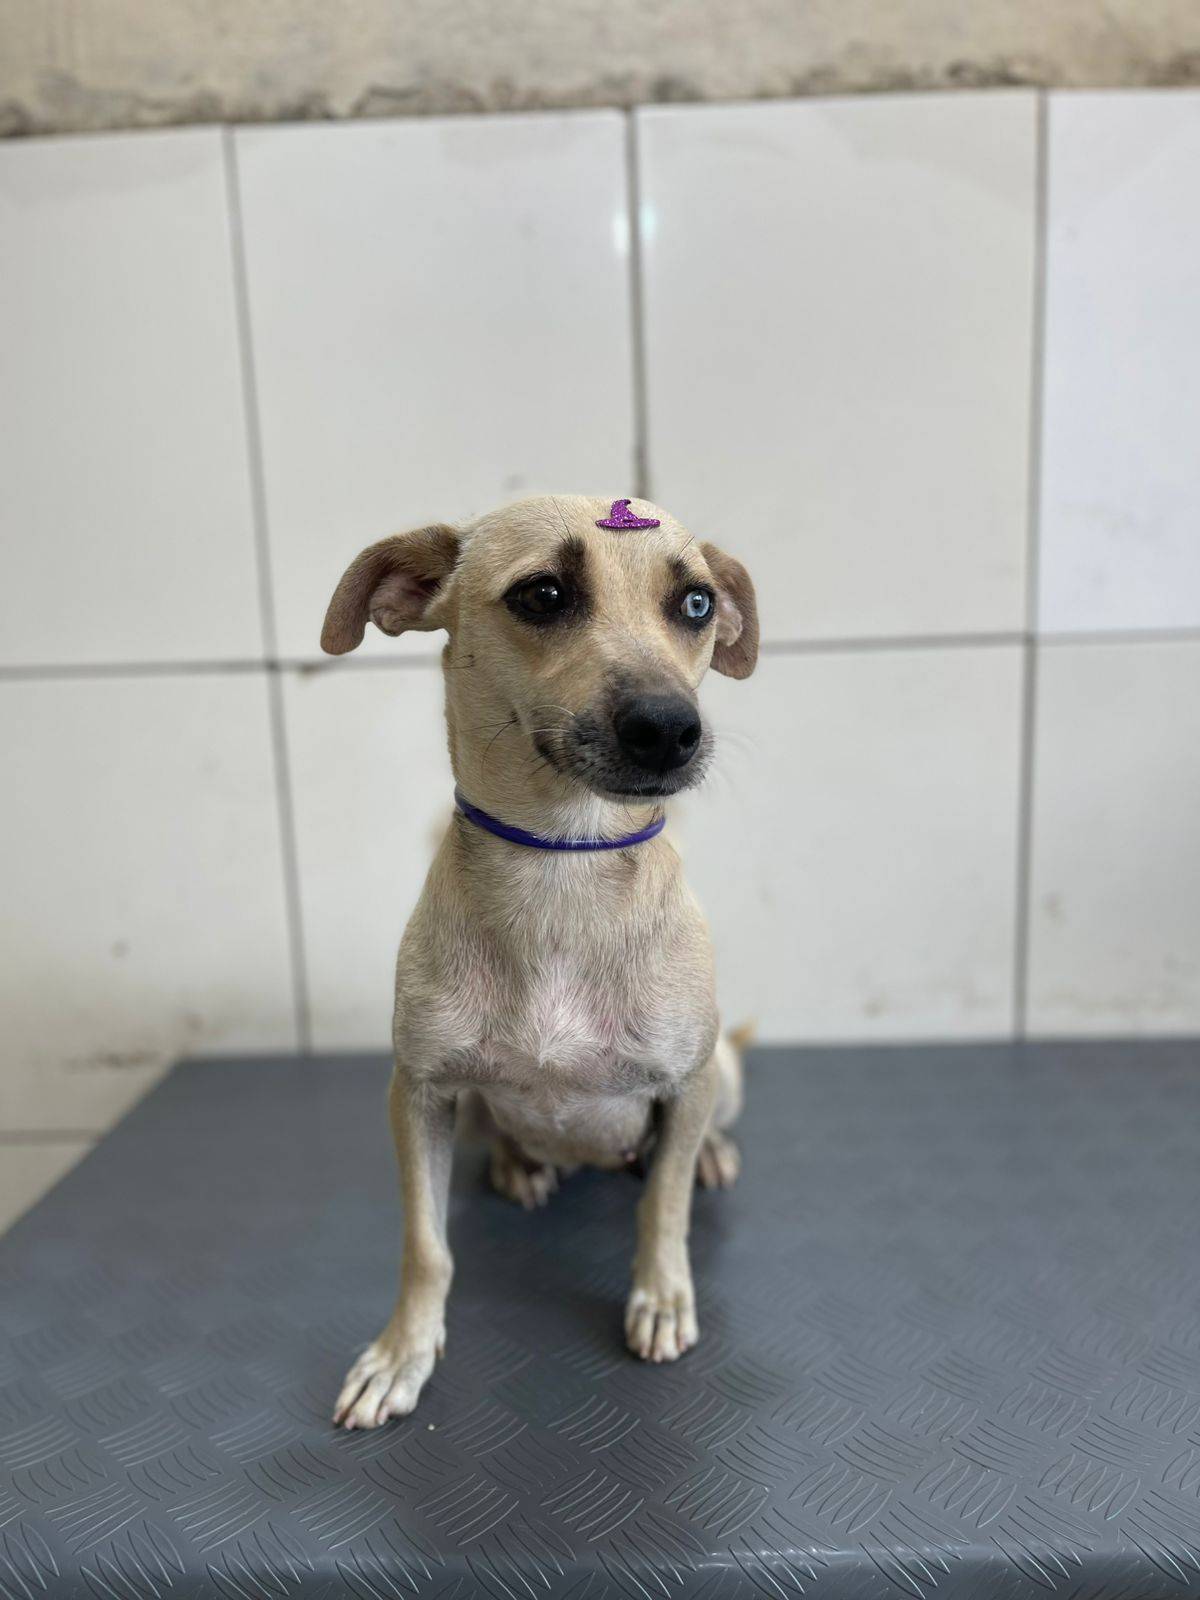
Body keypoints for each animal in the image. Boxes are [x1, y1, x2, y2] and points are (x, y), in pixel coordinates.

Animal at [322, 495, 758, 1429]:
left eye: (696, 603)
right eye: (545, 593)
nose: (671, 728)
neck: (565, 866)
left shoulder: (687, 1079)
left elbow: (662, 1208)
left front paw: (661, 1296)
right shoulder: (418, 1092)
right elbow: (427, 1246)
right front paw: (402, 1353)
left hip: (725, 1075)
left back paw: (707, 1155)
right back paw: (521, 1164)